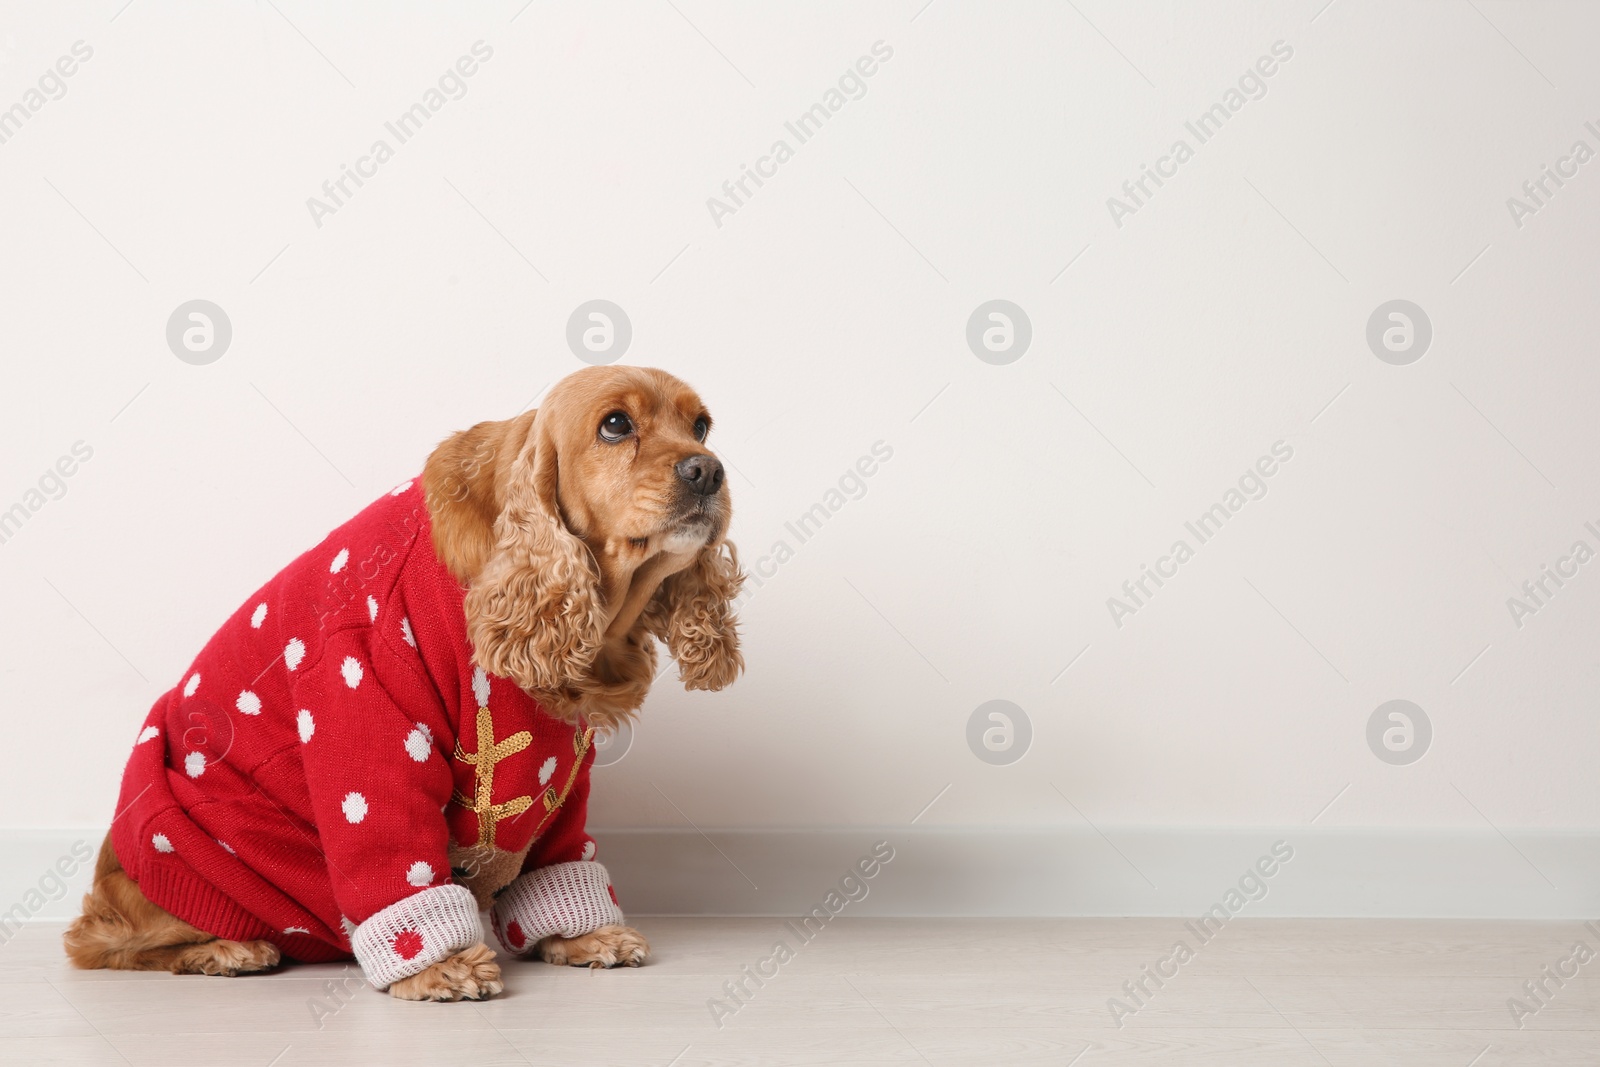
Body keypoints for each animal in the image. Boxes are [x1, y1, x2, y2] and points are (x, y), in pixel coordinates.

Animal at [60, 367, 736, 1004]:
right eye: (615, 425)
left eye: (702, 426)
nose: (708, 471)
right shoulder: (362, 704)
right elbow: (392, 848)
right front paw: (439, 965)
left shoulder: (563, 761)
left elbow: (559, 848)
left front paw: (582, 934)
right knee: (101, 941)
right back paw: (226, 949)